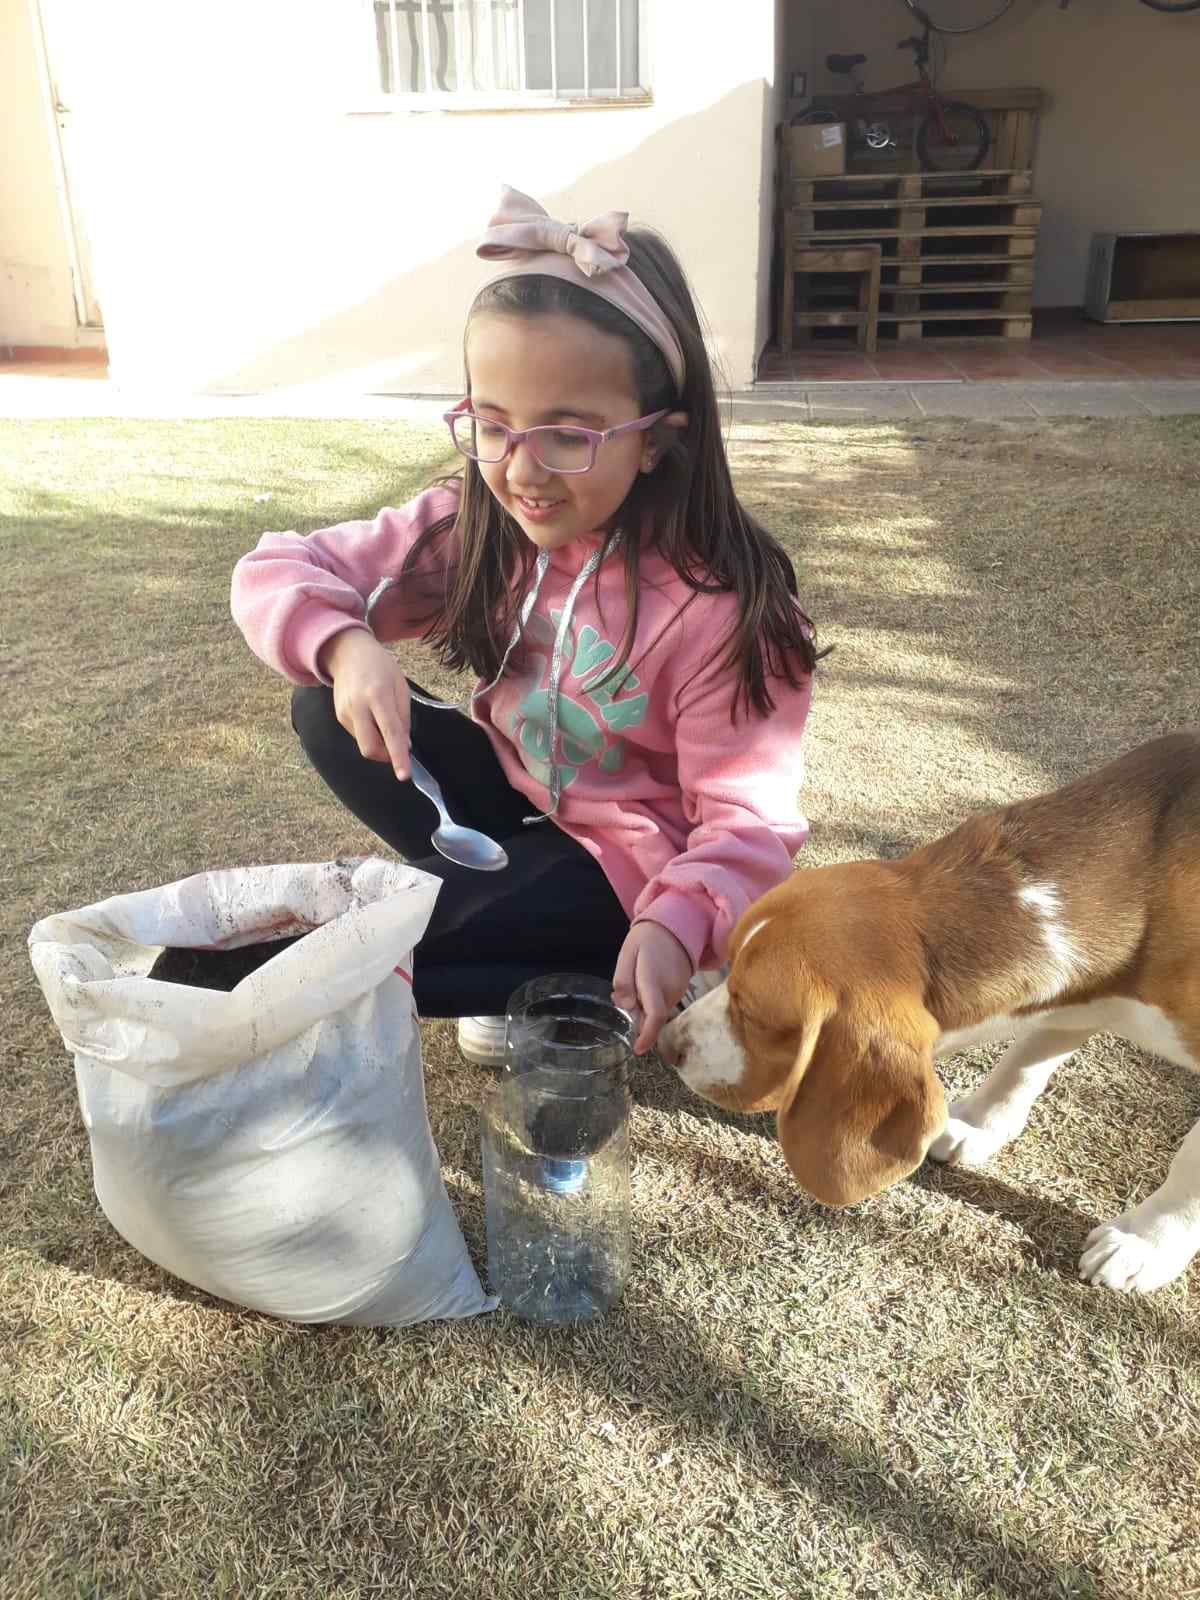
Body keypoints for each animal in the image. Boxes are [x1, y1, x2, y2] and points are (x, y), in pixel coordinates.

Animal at [659, 734, 1200, 1294]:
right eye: (728, 964)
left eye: (752, 1013)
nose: (666, 1043)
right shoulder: (1079, 994)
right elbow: (1023, 1061)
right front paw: (980, 1126)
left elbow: (1190, 1163)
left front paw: (1145, 1243)